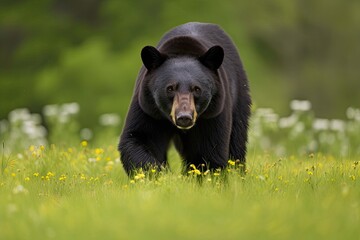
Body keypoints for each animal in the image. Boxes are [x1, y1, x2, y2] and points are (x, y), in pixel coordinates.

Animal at [118, 22, 250, 175]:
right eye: (170, 88)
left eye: (197, 89)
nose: (184, 117)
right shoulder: (149, 108)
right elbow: (139, 137)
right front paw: (157, 173)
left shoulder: (213, 113)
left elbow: (209, 150)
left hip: (239, 94)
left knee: (237, 139)